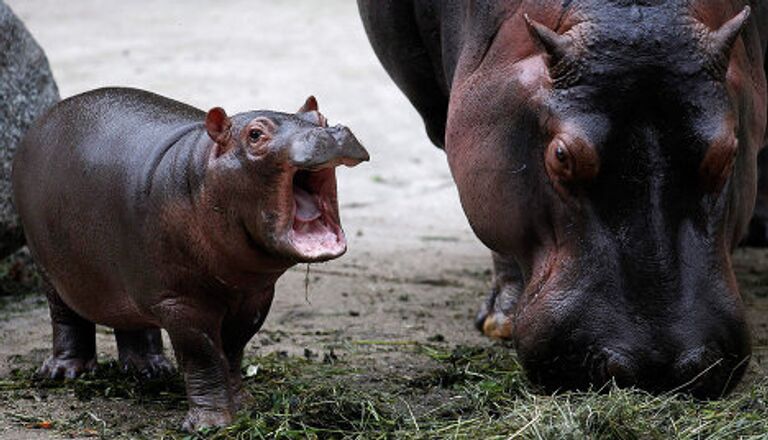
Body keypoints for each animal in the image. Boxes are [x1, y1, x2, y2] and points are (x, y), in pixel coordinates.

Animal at [12, 87, 368, 432]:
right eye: (255, 134)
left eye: (321, 118)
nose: (330, 132)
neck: (202, 173)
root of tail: (44, 118)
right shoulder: (180, 303)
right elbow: (205, 357)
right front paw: (210, 424)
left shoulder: (254, 296)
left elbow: (232, 351)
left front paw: (244, 406)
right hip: (51, 269)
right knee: (66, 316)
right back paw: (64, 372)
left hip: (132, 278)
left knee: (131, 320)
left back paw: (151, 370)